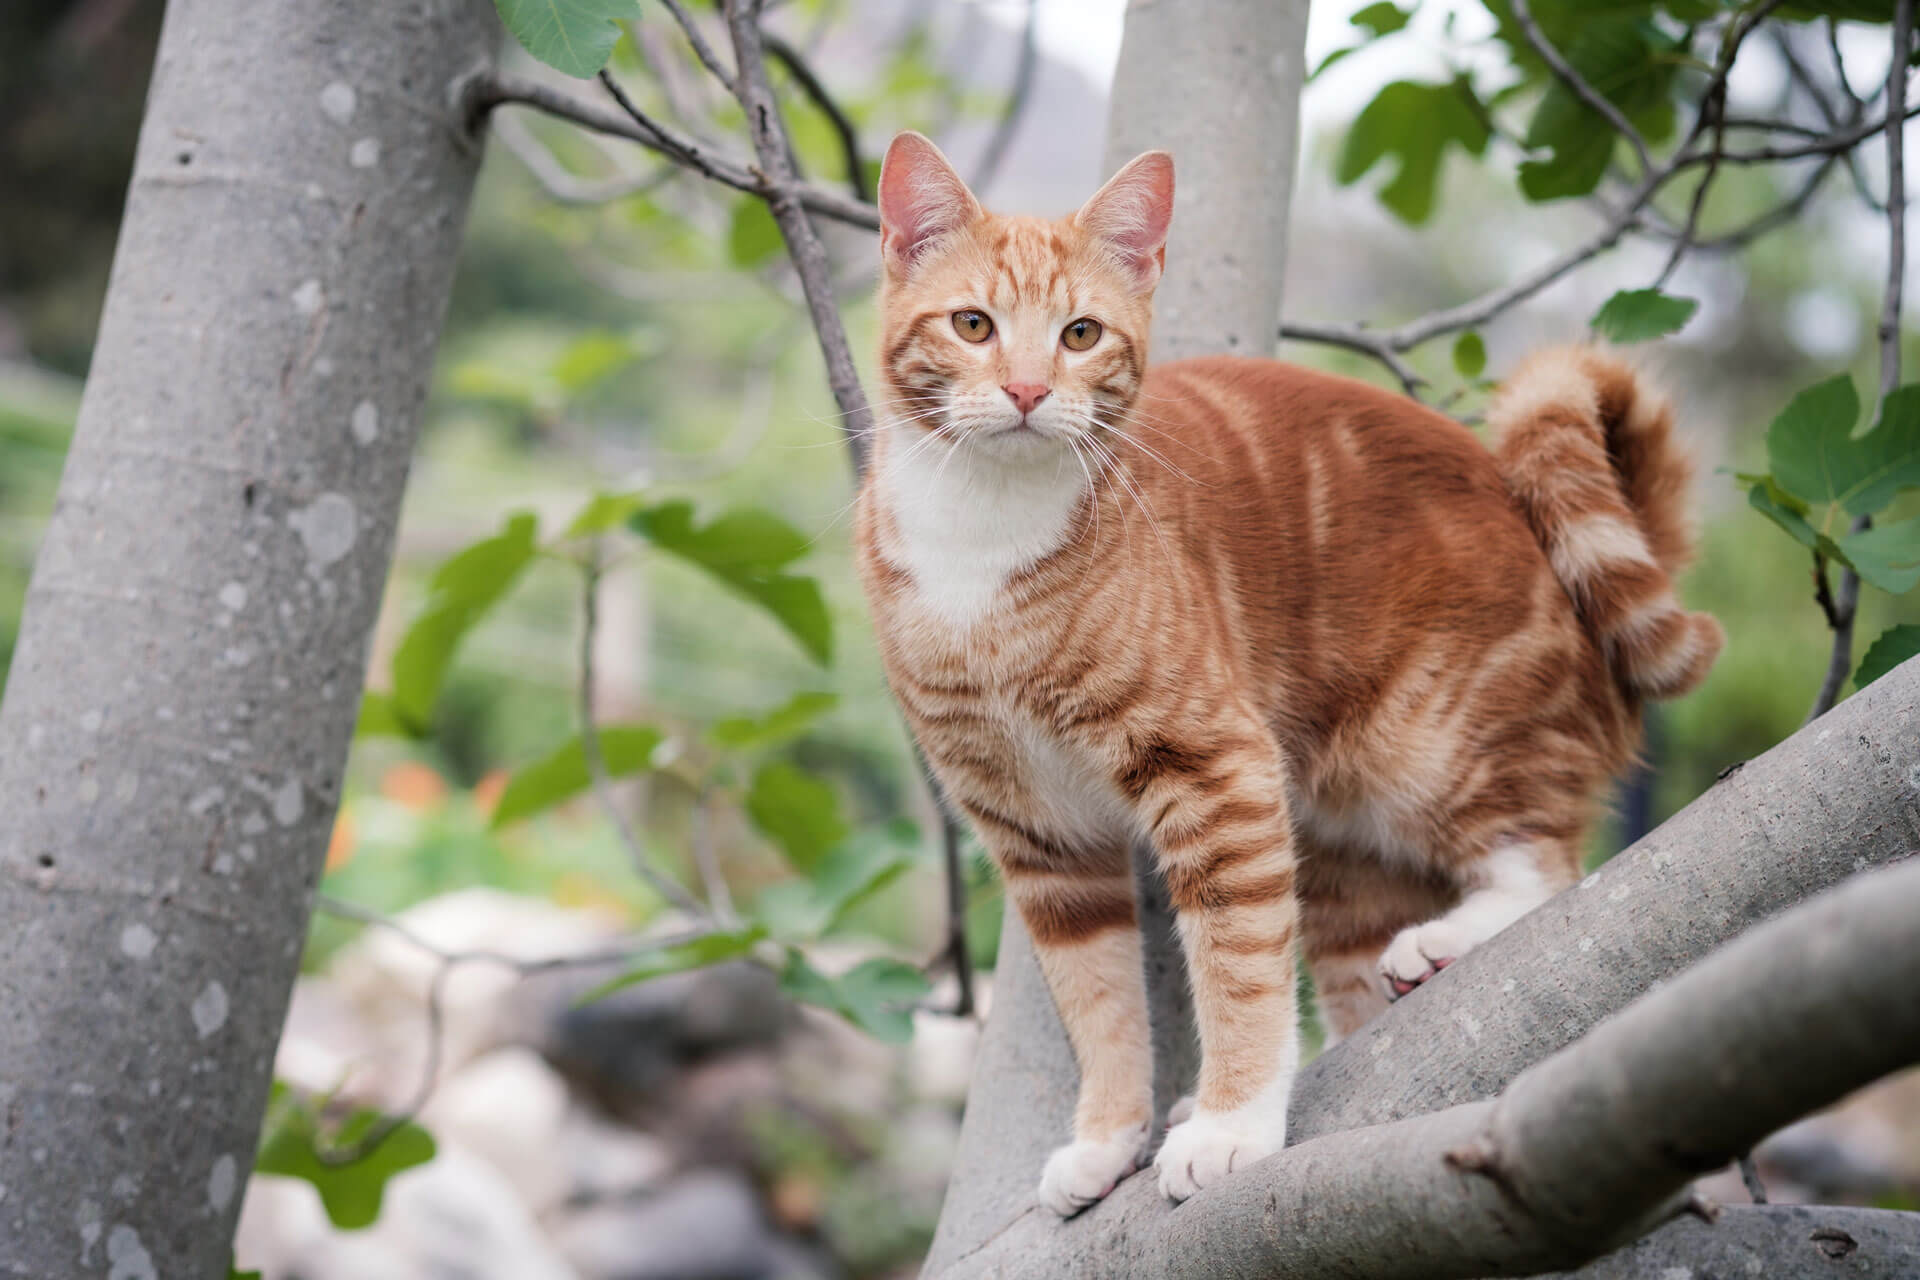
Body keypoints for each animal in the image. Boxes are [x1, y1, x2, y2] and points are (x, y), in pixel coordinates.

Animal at [856, 135, 1728, 1220]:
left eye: (1080, 334)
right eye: (973, 324)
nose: (1024, 392)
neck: (985, 535)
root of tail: (1530, 509)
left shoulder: (1214, 768)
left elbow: (1238, 970)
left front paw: (1233, 1124)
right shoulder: (1039, 837)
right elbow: (1099, 1003)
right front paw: (1108, 1138)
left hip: (1434, 745)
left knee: (1548, 865)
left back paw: (1449, 940)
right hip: (1341, 854)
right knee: (1356, 984)